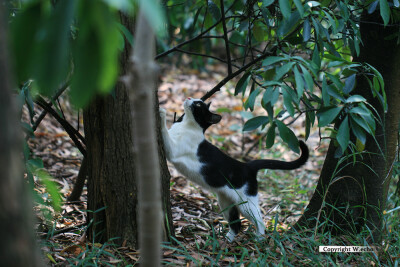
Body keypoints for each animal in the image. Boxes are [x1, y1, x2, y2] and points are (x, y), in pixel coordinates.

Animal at [160, 98, 310, 243]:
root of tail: (248, 166)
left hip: (246, 204)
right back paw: (226, 241)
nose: (189, 98)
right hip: (226, 202)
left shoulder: (173, 150)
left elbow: (165, 133)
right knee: (236, 224)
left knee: (259, 221)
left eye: (198, 104)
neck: (185, 125)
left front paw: (161, 112)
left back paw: (259, 239)